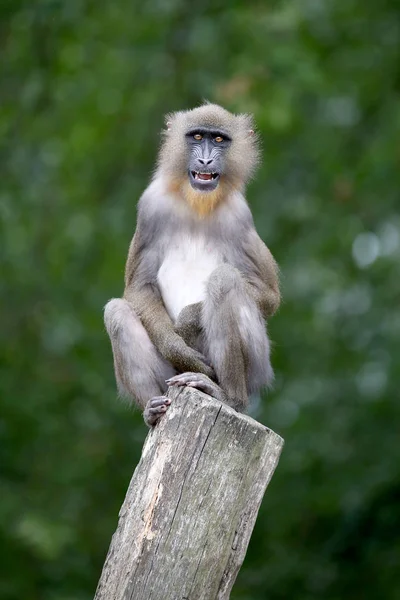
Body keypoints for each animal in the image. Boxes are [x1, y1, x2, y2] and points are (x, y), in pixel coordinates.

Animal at [105, 105, 282, 428]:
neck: (197, 204)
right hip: (170, 377)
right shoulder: (149, 207)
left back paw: (229, 397)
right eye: (198, 136)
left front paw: (188, 321)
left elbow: (268, 296)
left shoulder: (241, 218)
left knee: (224, 280)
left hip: (258, 366)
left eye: (219, 139)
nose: (206, 160)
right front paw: (176, 345)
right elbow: (138, 287)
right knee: (116, 312)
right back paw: (152, 409)